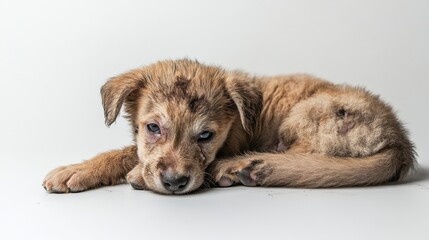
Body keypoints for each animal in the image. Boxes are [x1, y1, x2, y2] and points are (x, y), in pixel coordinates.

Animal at [42, 59, 414, 194]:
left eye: (206, 136)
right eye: (153, 128)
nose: (174, 183)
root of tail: (399, 140)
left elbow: (127, 154)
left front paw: (76, 170)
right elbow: (132, 150)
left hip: (308, 114)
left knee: (307, 160)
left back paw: (239, 168)